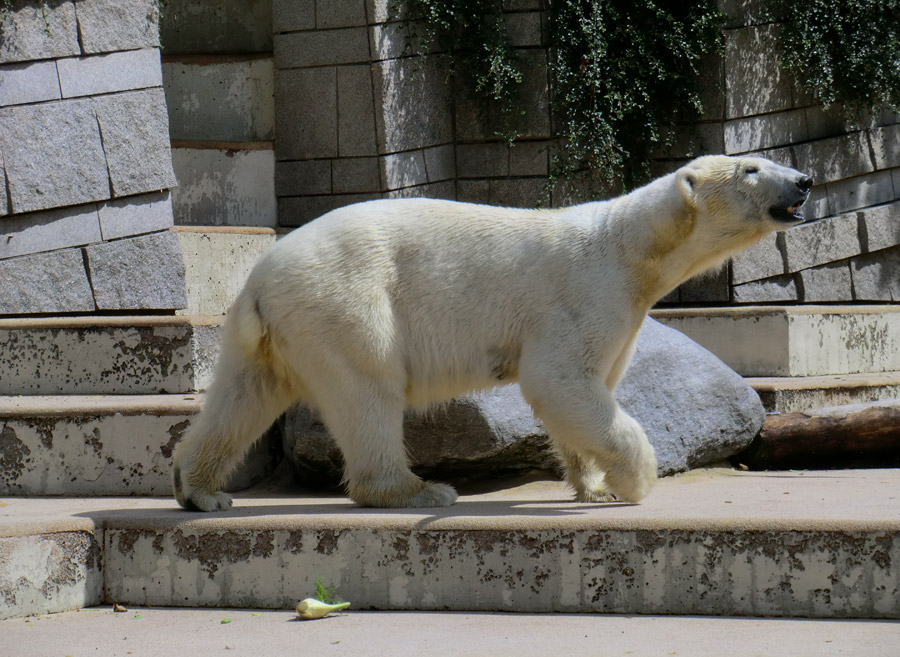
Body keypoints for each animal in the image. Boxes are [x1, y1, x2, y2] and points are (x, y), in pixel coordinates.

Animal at [172, 155, 812, 512]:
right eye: (752, 169)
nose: (804, 180)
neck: (632, 248)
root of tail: (259, 279)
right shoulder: (584, 293)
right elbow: (558, 380)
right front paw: (636, 481)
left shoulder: (623, 314)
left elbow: (586, 391)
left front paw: (593, 484)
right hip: (345, 302)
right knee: (368, 390)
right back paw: (418, 490)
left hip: (269, 331)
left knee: (243, 397)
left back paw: (199, 488)